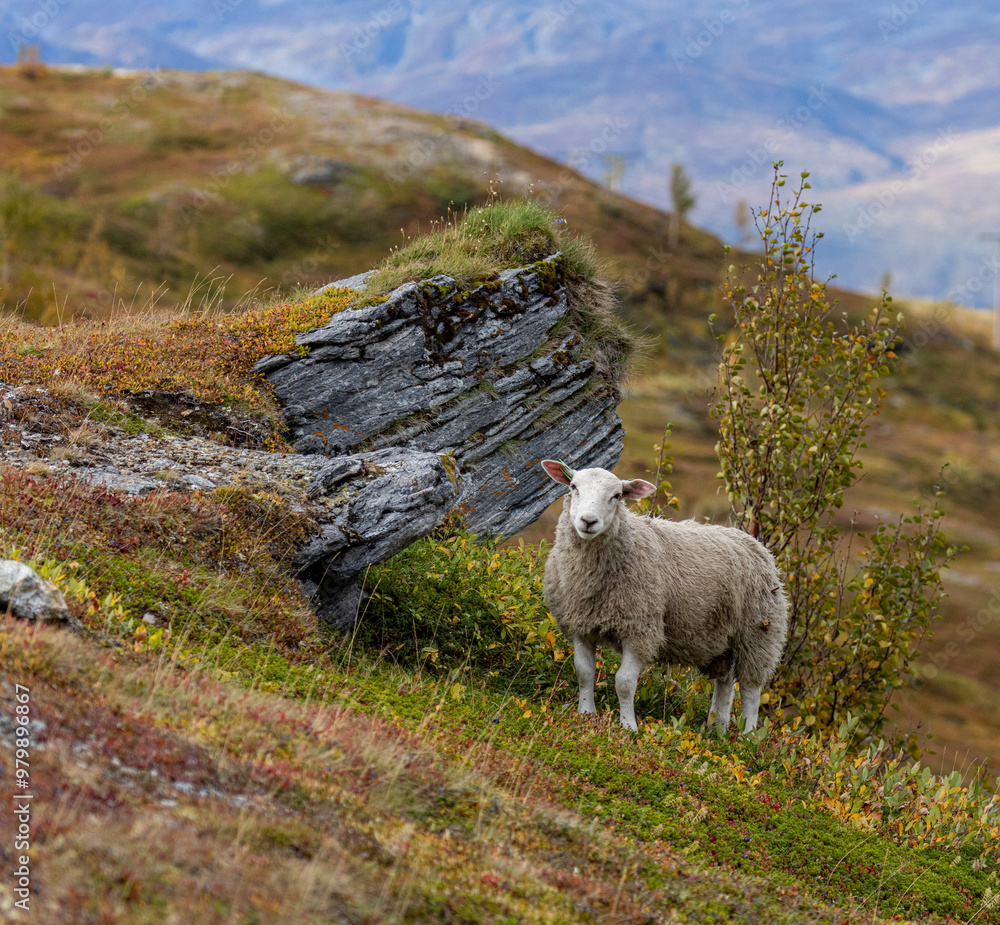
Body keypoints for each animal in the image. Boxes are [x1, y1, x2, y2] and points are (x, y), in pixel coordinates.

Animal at [540, 459, 788, 733]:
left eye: (617, 496)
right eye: (573, 487)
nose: (588, 521)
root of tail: (756, 544)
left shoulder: (640, 628)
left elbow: (624, 682)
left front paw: (628, 726)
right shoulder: (580, 624)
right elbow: (584, 672)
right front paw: (586, 714)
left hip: (759, 632)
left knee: (751, 689)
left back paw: (748, 735)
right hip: (722, 640)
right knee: (724, 682)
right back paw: (716, 730)